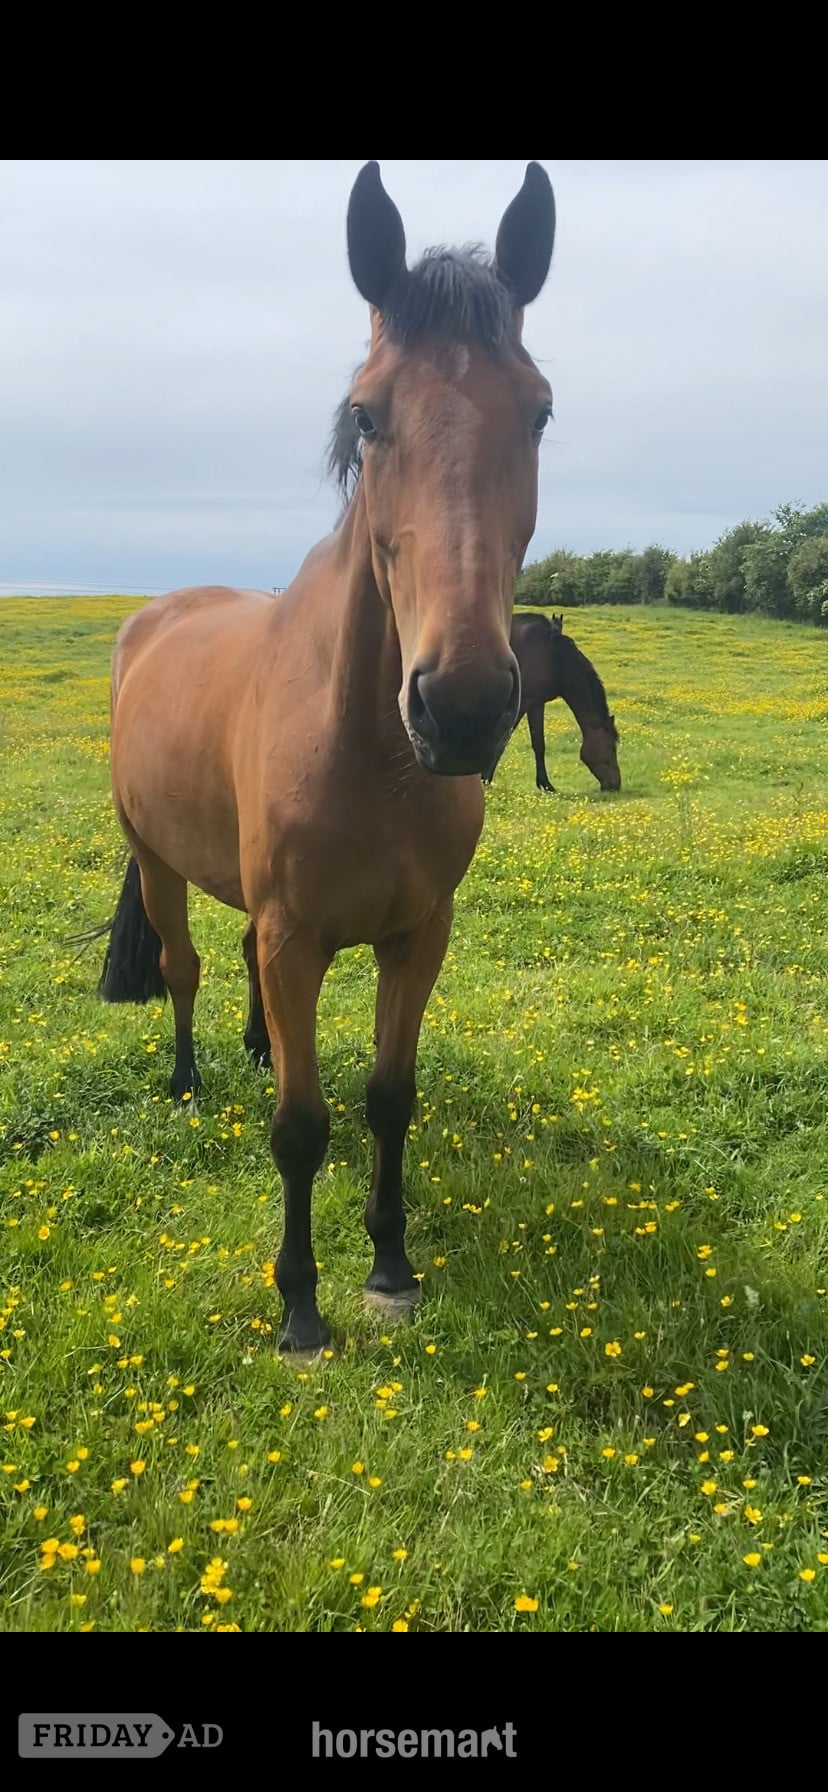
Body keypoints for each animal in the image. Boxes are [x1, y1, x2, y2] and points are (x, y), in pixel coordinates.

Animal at [97, 160, 556, 1355]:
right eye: (367, 413)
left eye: (539, 411)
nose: (463, 705)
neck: (368, 752)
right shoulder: (297, 936)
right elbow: (301, 1128)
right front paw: (300, 1302)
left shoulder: (416, 933)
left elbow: (390, 1098)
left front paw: (390, 1262)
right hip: (158, 864)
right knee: (184, 968)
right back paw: (187, 1080)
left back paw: (256, 1048)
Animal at [486, 610, 620, 792]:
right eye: (610, 747)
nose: (616, 784)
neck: (552, 657)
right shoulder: (520, 704)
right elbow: (501, 741)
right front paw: (485, 779)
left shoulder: (536, 703)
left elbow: (539, 744)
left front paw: (545, 784)